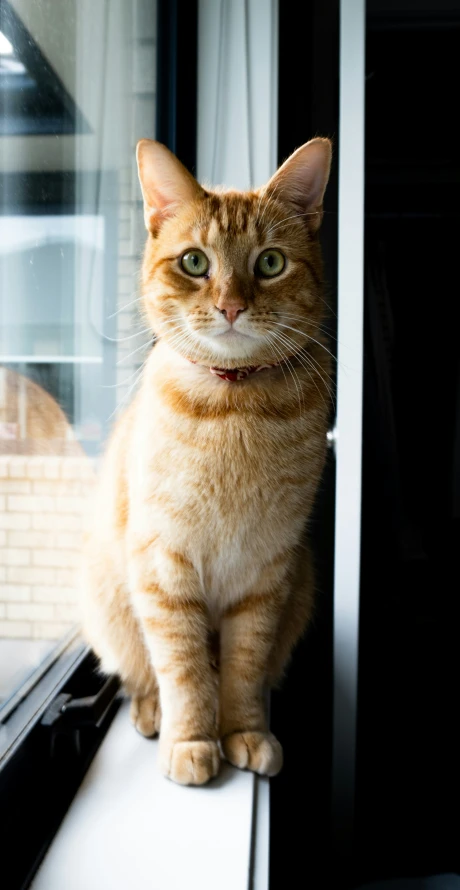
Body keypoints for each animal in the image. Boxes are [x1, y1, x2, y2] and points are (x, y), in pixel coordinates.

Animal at [82, 137, 330, 784]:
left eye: (270, 264)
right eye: (195, 263)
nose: (231, 307)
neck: (233, 408)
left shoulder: (266, 573)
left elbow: (243, 664)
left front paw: (242, 731)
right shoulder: (164, 568)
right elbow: (186, 668)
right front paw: (193, 741)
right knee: (140, 674)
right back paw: (151, 714)